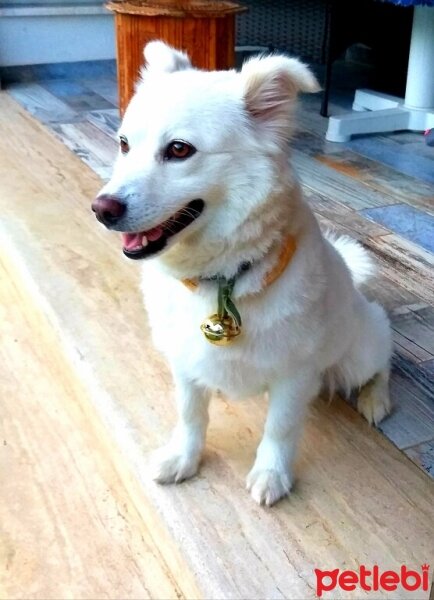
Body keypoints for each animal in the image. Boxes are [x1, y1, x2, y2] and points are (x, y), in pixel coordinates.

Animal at [92, 39, 394, 504]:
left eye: (179, 150)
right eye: (124, 144)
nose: (101, 210)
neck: (224, 280)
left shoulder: (294, 374)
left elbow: (280, 429)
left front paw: (272, 474)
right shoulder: (184, 361)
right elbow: (190, 414)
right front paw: (184, 457)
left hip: (357, 355)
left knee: (383, 363)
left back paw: (376, 400)